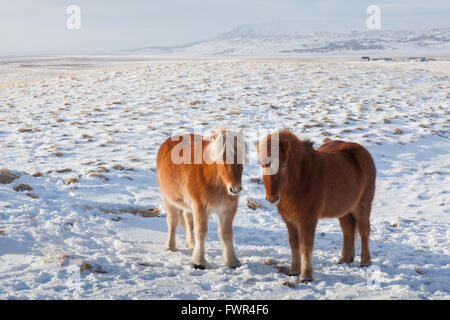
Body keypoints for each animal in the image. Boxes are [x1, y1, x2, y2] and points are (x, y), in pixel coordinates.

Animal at [155, 129, 246, 268]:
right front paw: (199, 261)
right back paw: (170, 246)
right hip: (168, 200)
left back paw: (191, 244)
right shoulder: (200, 207)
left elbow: (226, 234)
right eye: (222, 157)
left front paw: (232, 261)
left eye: (241, 156)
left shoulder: (228, 209)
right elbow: (201, 232)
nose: (235, 189)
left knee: (188, 220)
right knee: (173, 221)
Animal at [256, 129, 376, 282]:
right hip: (344, 209)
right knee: (347, 230)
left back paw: (365, 261)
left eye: (283, 165)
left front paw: (306, 276)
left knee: (364, 231)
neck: (302, 178)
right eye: (262, 165)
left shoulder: (308, 219)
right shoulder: (290, 220)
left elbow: (306, 245)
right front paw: (294, 270)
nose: (272, 198)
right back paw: (345, 258)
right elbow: (294, 245)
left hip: (362, 206)